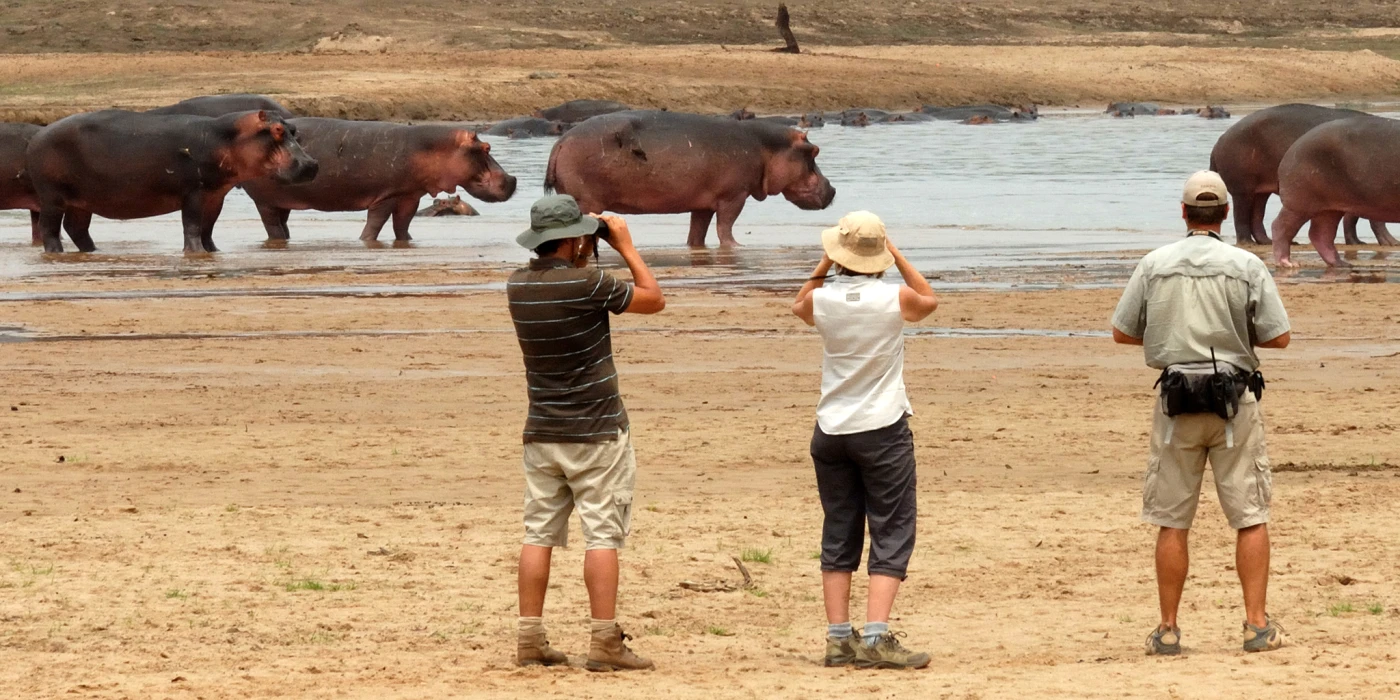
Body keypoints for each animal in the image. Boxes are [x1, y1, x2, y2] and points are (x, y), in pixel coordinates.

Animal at [26, 107, 317, 253]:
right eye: (277, 130)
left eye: (293, 130)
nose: (312, 164)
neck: (226, 138)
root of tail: (38, 136)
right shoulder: (194, 193)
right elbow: (192, 224)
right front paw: (195, 253)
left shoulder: (215, 196)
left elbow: (208, 227)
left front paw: (213, 251)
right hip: (52, 197)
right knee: (49, 228)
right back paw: (56, 253)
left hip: (81, 200)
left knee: (76, 228)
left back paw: (92, 252)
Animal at [243, 118, 518, 243]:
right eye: (486, 147)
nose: (513, 179)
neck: (436, 148)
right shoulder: (387, 195)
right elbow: (376, 222)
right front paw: (365, 240)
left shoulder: (409, 196)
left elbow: (402, 224)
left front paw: (407, 241)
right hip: (264, 201)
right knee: (272, 225)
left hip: (281, 201)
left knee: (281, 223)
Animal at [543, 110, 828, 247]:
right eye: (815, 151)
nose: (832, 189)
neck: (765, 146)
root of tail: (561, 142)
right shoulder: (734, 196)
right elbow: (726, 227)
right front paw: (738, 246)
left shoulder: (703, 205)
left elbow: (697, 234)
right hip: (587, 202)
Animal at [1209, 102, 1394, 246]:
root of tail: (1219, 141)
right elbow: (1371, 219)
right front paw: (1391, 242)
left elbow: (1352, 218)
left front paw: (1357, 243)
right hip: (1243, 188)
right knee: (1241, 214)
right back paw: (1248, 243)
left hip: (1261, 189)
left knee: (1257, 215)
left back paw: (1269, 242)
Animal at [1276, 116, 1400, 266]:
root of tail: (1295, 145)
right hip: (1299, 203)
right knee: (1280, 227)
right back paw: (1288, 263)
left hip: (1330, 208)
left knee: (1320, 234)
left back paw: (1341, 264)